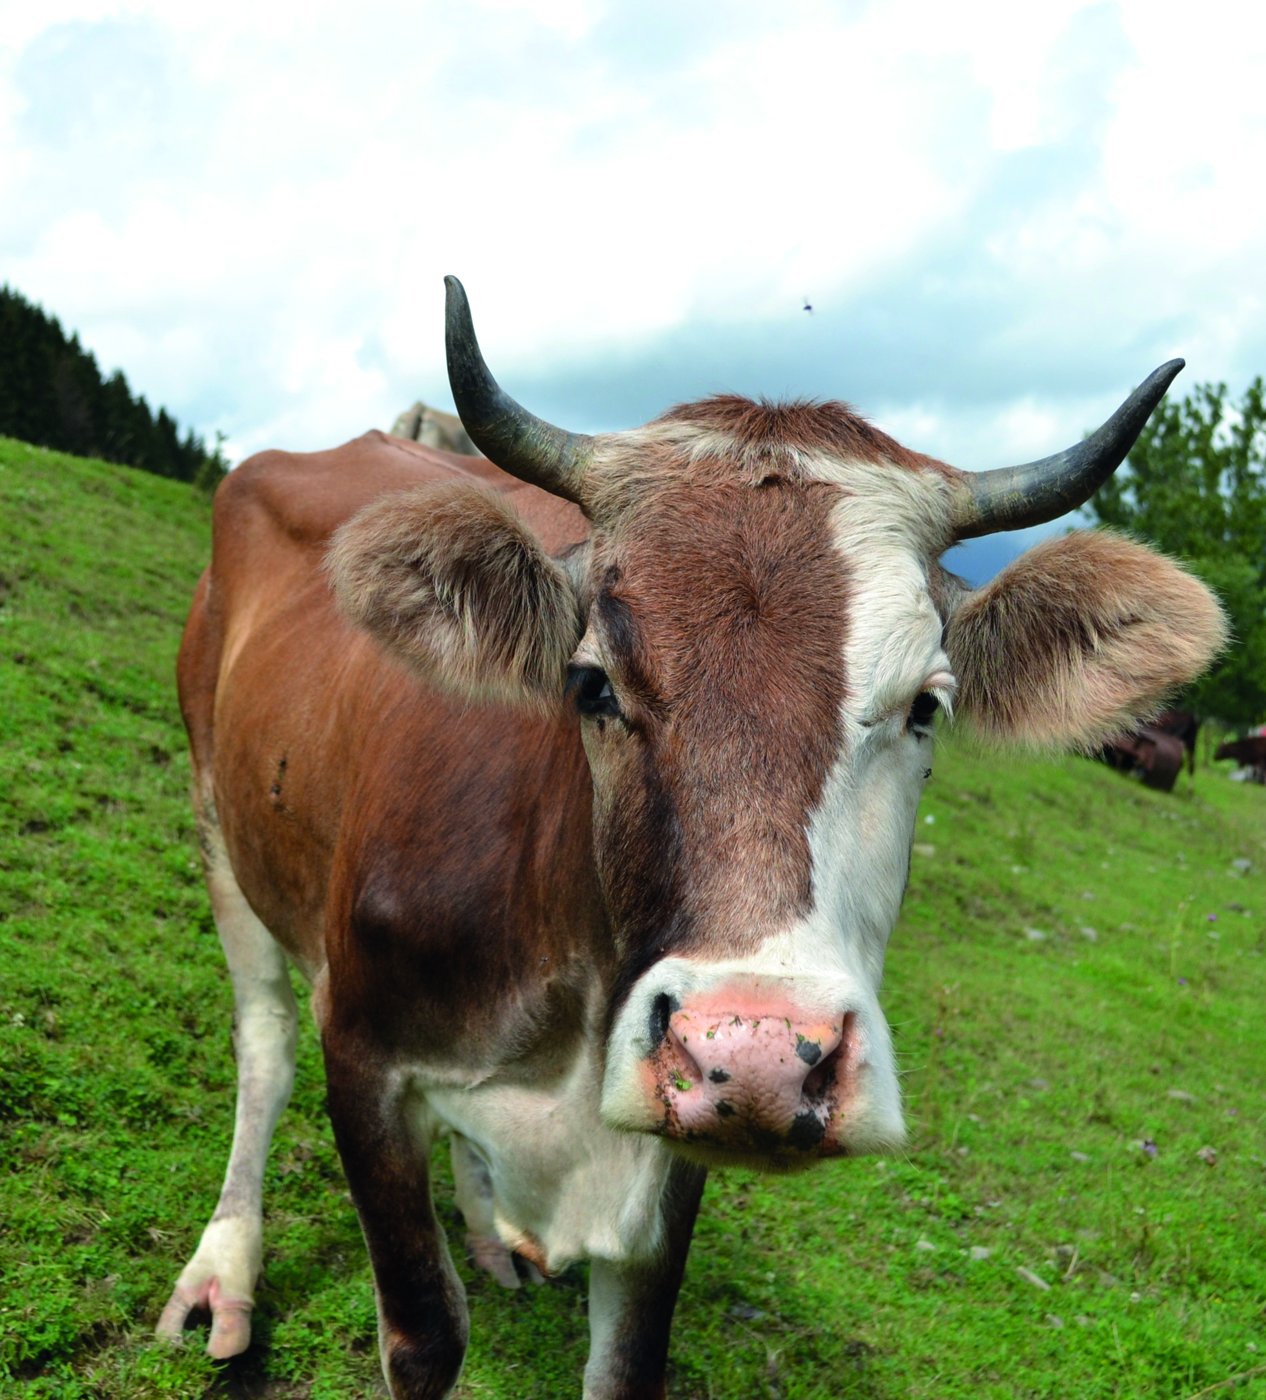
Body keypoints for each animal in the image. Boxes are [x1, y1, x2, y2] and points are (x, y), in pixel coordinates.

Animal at [157, 277, 1225, 1398]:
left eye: (928, 705)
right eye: (591, 683)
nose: (755, 1057)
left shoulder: (668, 1168)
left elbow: (628, 1362)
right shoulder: (364, 1061)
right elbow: (424, 1334)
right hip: (218, 810)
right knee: (263, 1041)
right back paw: (223, 1274)